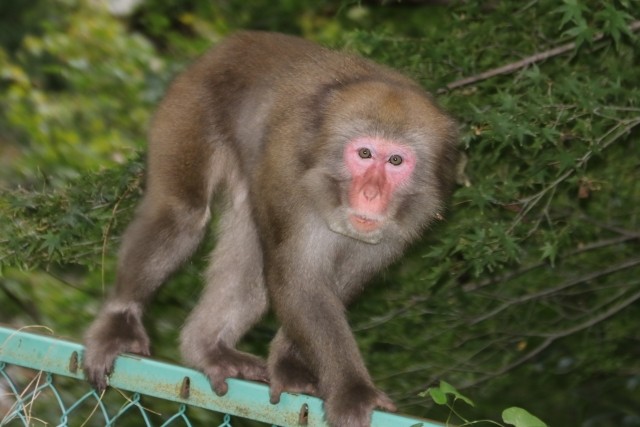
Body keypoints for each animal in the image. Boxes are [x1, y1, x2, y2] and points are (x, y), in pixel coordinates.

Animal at [82, 30, 458, 427]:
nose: (371, 193)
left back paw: (207, 348)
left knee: (249, 243)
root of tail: (237, 40)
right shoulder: (288, 175)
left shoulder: (407, 221)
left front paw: (290, 364)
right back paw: (119, 323)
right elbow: (296, 279)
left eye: (396, 160)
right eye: (365, 154)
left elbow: (335, 281)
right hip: (191, 102)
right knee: (182, 215)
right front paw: (352, 391)